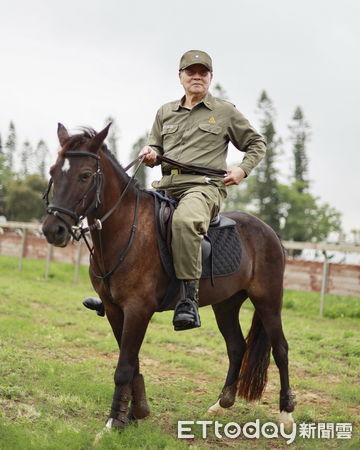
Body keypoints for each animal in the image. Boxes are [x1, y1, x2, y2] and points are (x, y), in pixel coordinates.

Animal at [41, 125, 296, 430]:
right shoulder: (114, 309)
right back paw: (221, 403)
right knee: (237, 347)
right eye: (53, 171)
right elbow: (132, 362)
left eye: (85, 175)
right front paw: (134, 413)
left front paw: (114, 422)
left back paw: (286, 412)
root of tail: (270, 231)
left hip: (268, 300)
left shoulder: (137, 309)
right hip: (226, 304)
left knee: (280, 349)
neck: (126, 230)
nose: (53, 229)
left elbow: (124, 367)